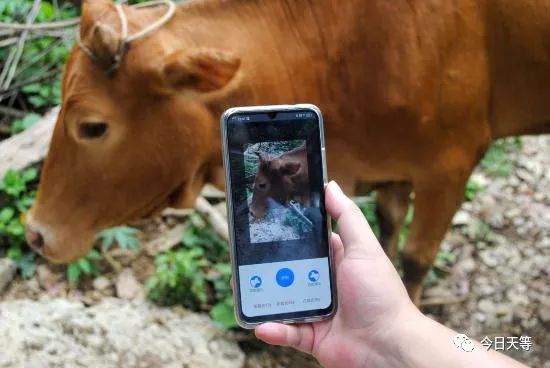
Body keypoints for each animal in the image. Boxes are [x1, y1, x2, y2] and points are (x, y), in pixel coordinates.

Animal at [24, 0, 550, 302]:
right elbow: (386, 229)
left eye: (92, 127)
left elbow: (416, 257)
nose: (35, 234)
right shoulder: (394, 169)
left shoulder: (451, 166)